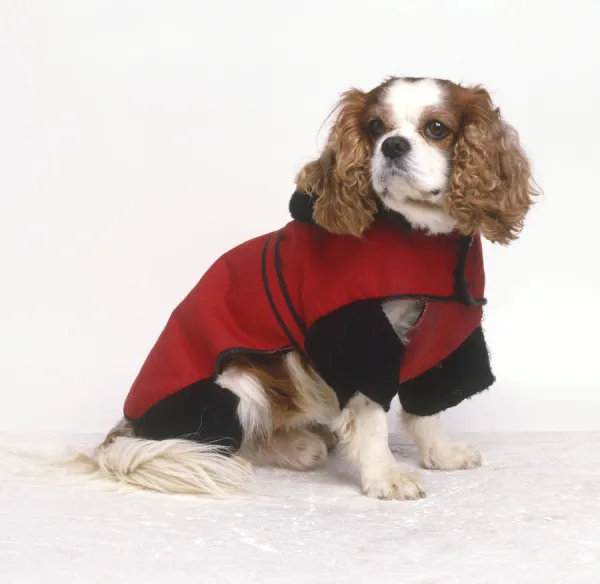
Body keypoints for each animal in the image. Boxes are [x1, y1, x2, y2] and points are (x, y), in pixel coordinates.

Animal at [71, 75, 540, 500]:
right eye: (375, 127)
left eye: (437, 128)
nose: (392, 146)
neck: (415, 234)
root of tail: (129, 430)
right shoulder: (352, 334)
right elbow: (371, 416)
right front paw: (384, 476)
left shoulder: (443, 335)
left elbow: (427, 407)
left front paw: (440, 454)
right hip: (237, 380)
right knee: (235, 443)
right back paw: (278, 450)